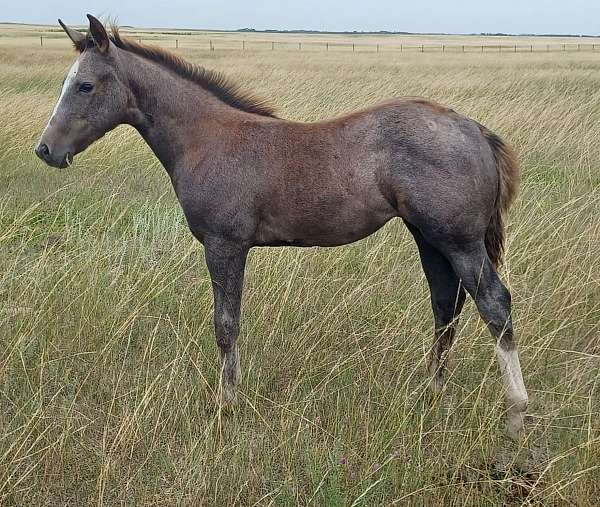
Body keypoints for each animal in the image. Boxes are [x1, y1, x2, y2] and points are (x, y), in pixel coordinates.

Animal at [35, 13, 528, 438]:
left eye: (85, 85)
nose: (46, 150)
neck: (206, 138)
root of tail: (474, 128)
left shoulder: (224, 245)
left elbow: (226, 325)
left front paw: (226, 405)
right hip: (428, 237)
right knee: (446, 305)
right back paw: (430, 393)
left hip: (459, 241)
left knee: (494, 304)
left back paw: (516, 413)